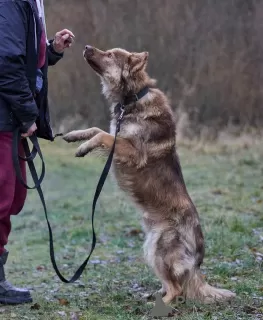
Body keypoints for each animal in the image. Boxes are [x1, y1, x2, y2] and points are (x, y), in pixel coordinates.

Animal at [64, 45, 237, 304]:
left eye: (110, 55)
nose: (85, 47)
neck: (134, 97)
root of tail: (196, 265)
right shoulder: (118, 138)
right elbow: (96, 129)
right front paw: (75, 136)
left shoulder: (132, 150)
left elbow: (102, 135)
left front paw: (84, 147)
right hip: (150, 249)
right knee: (171, 285)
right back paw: (153, 295)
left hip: (159, 248)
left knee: (176, 289)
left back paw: (159, 304)